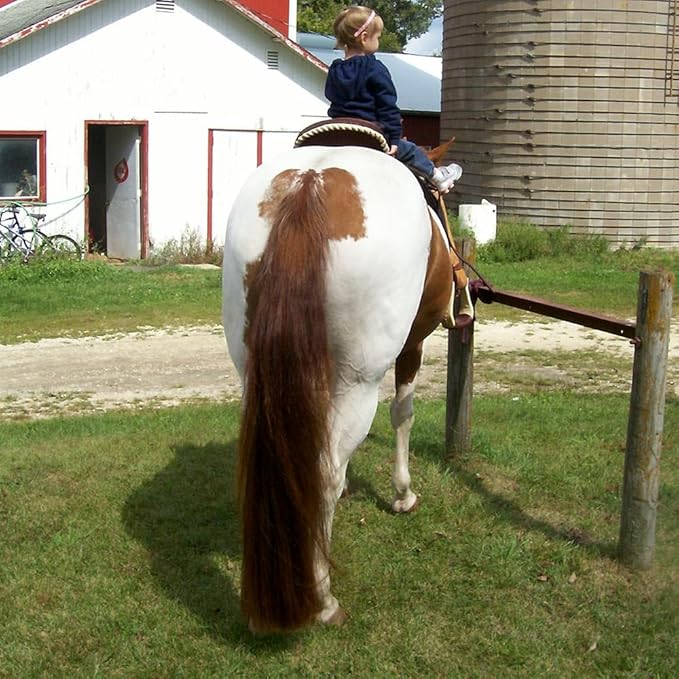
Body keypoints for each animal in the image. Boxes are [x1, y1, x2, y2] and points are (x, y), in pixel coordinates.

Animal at [222, 143, 456, 634]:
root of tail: (309, 186)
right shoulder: (412, 344)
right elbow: (403, 414)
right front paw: (403, 494)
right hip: (360, 380)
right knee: (325, 469)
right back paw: (323, 599)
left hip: (254, 372)